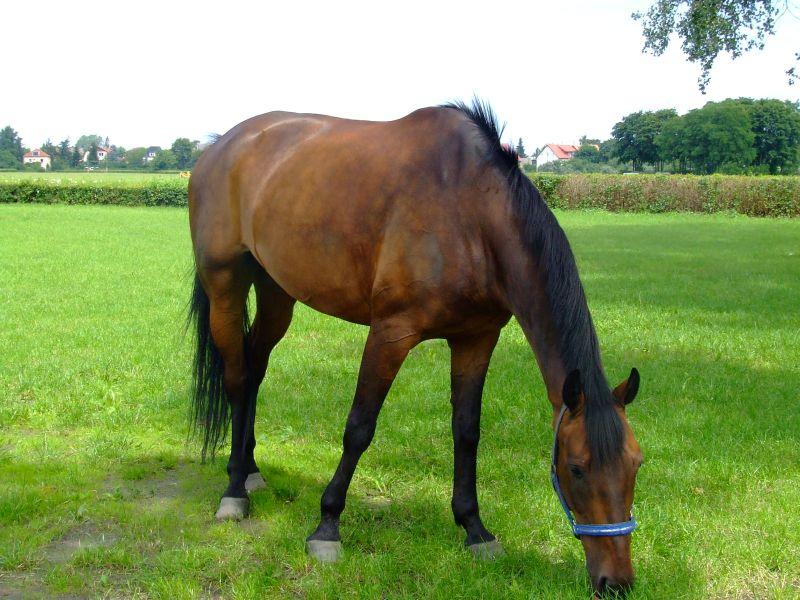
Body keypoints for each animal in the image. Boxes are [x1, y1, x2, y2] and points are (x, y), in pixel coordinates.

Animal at [186, 99, 644, 596]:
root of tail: (220, 148)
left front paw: (475, 529)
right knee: (236, 378)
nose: (616, 581)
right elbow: (359, 428)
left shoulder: (476, 338)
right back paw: (234, 490)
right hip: (225, 284)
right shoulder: (391, 333)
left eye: (636, 465)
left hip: (276, 293)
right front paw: (327, 526)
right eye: (576, 468)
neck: (470, 211)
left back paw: (250, 470)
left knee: (254, 369)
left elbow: (467, 431)